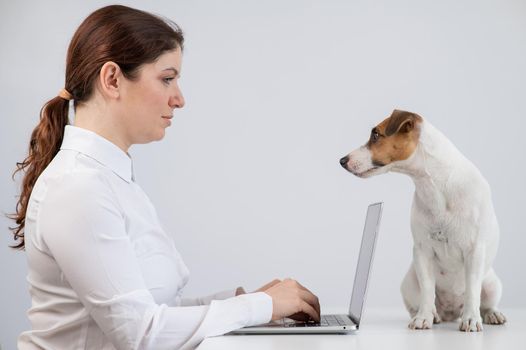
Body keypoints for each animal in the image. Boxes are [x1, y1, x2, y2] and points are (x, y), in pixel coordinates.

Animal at [342, 110, 508, 332]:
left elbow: (473, 289)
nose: (342, 160)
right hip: (409, 283)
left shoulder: (474, 251)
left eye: (375, 135)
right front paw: (423, 318)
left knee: (485, 303)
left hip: (491, 283)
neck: (434, 185)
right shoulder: (422, 252)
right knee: (420, 301)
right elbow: (428, 290)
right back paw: (432, 315)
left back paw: (491, 314)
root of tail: (451, 312)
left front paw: (472, 320)